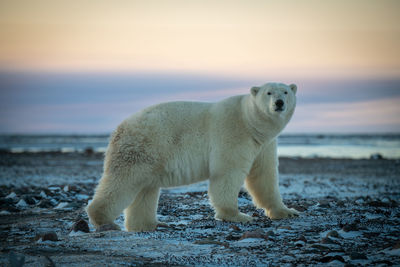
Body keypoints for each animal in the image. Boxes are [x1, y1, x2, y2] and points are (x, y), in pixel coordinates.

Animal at [87, 82, 300, 231]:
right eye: (269, 92)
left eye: (285, 92)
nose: (279, 103)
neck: (249, 122)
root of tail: (119, 128)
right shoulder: (232, 133)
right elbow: (227, 172)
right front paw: (237, 215)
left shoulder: (264, 145)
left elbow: (264, 176)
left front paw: (287, 212)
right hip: (142, 147)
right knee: (123, 181)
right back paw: (104, 220)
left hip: (149, 156)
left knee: (145, 189)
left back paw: (149, 224)